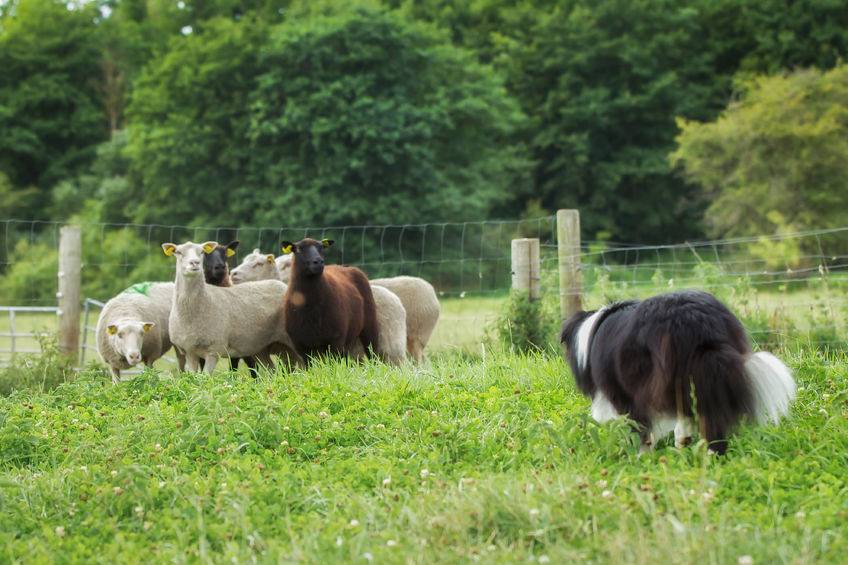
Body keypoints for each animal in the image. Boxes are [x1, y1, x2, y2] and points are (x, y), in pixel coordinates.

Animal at [162, 240, 298, 372]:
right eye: (178, 252)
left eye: (202, 252)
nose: (194, 263)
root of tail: (281, 284)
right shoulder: (189, 352)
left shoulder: (214, 350)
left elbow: (206, 376)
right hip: (261, 348)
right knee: (272, 371)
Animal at [564, 290, 796, 454]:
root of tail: (700, 323)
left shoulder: (625, 393)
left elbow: (640, 427)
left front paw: (640, 453)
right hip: (704, 373)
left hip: (662, 375)